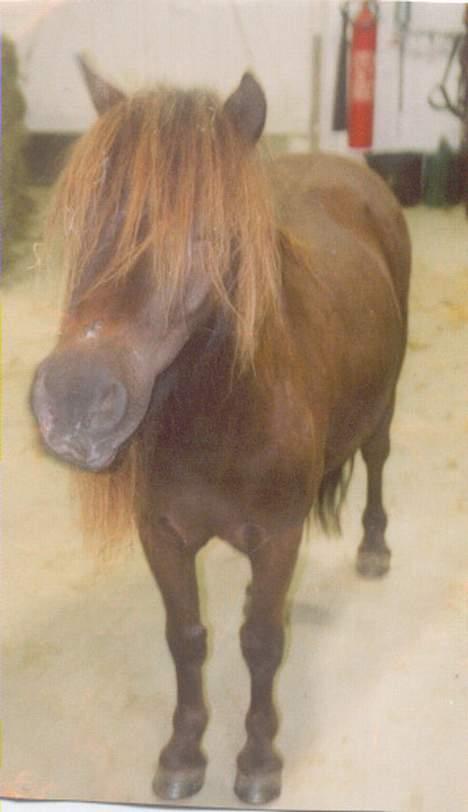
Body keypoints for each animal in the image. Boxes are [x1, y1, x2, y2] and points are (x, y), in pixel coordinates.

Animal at [31, 58, 411, 805]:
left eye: (206, 229)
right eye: (84, 217)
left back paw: (374, 547)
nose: (76, 401)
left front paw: (259, 761)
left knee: (379, 458)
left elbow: (261, 641)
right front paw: (183, 753)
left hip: (385, 400)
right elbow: (187, 636)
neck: (222, 419)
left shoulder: (279, 538)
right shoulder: (163, 535)